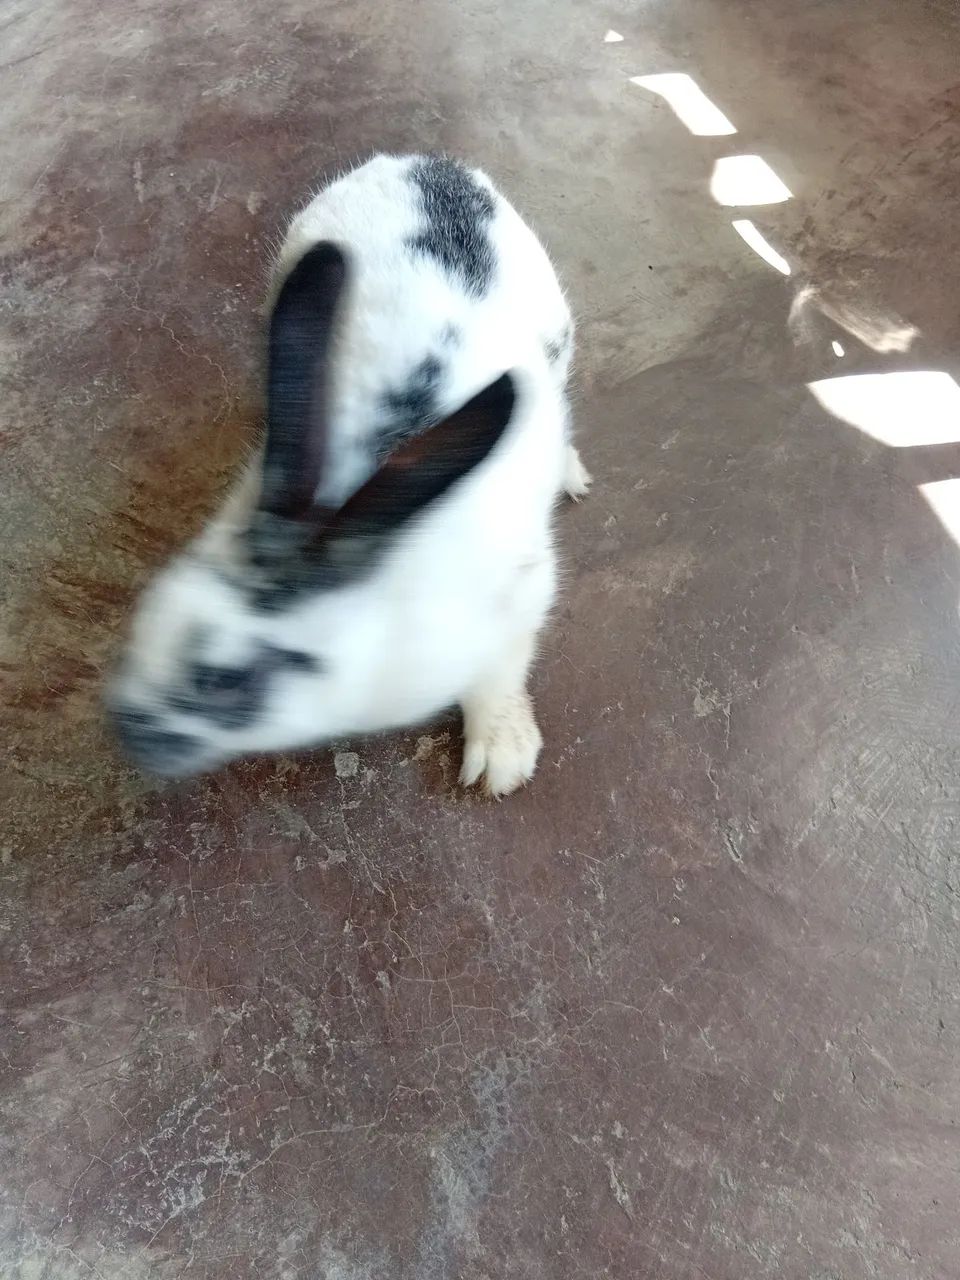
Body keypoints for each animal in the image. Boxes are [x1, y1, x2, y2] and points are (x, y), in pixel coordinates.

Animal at [108, 153, 590, 796]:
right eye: (147, 618)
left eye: (227, 680)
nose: (126, 731)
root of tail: (422, 162)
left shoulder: (524, 591)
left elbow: (501, 670)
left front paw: (502, 760)